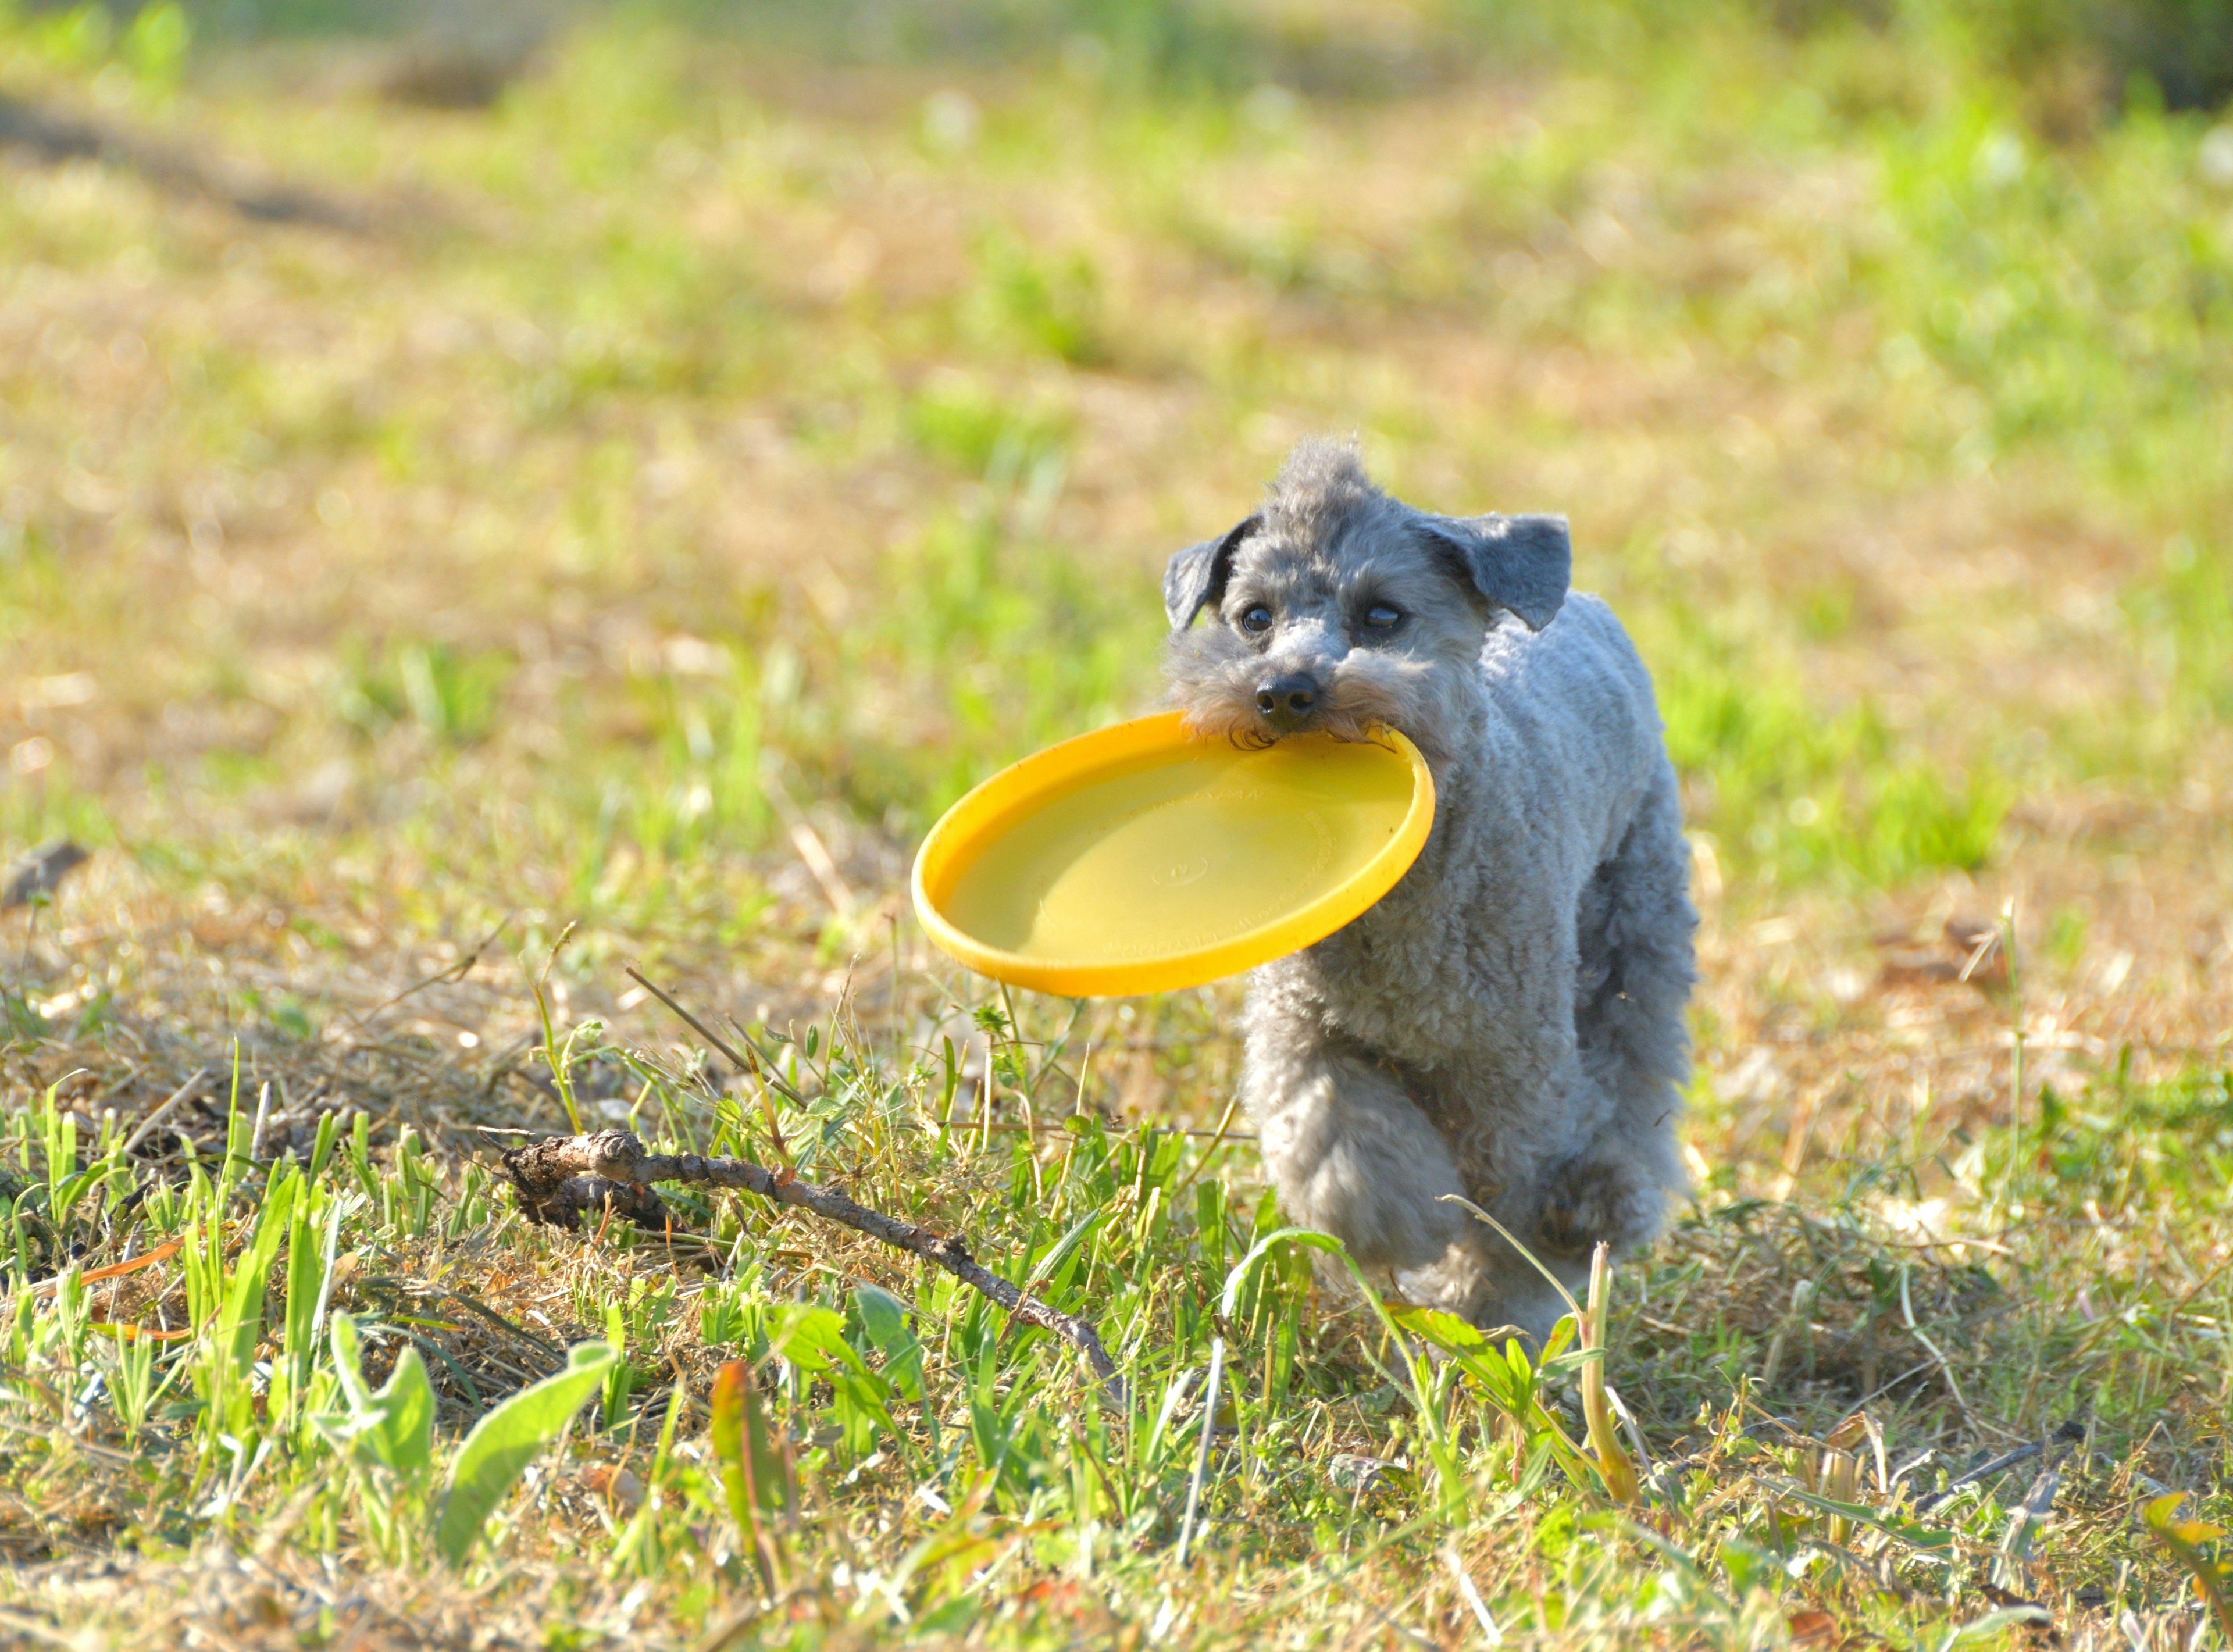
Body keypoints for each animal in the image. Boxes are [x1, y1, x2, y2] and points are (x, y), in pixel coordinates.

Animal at [1161, 440, 1697, 1339]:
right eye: (1254, 618)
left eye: (1383, 615)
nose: (1283, 692)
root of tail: (1586, 605)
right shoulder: (1304, 1028)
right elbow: (1331, 1129)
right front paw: (1391, 1221)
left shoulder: (1513, 1068)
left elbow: (1510, 1207)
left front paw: (1492, 1309)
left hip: (1635, 924)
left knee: (1631, 1084)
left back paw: (1598, 1204)